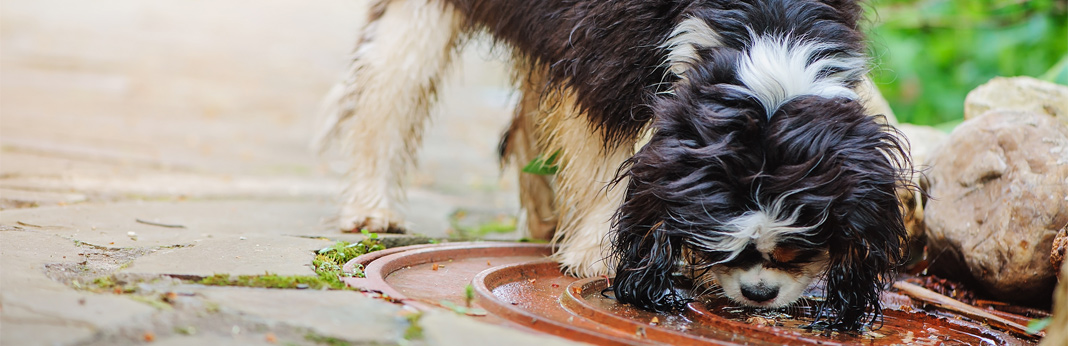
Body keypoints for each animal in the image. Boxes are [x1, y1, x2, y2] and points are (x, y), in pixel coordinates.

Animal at [316, 0, 909, 331]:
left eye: (799, 248)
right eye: (727, 248)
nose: (759, 294)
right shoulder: (605, 53)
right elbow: (608, 155)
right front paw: (597, 254)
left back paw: (543, 219)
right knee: (388, 85)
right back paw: (371, 206)